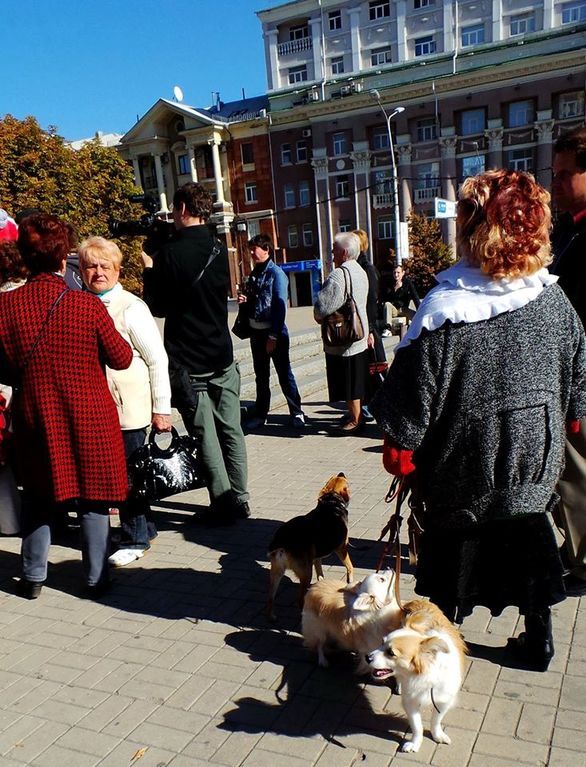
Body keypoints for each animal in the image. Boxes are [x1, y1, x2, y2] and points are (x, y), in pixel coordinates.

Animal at [266, 472, 352, 620]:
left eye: (332, 477)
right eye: (343, 480)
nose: (341, 472)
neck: (331, 502)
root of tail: (282, 541)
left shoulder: (316, 557)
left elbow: (320, 573)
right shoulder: (342, 548)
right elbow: (350, 567)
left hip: (276, 572)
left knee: (271, 597)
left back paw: (272, 616)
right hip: (306, 572)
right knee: (300, 599)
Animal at [364, 600, 466, 756]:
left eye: (391, 653)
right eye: (381, 643)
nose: (367, 657)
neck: (422, 676)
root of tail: (418, 601)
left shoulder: (444, 700)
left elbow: (436, 720)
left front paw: (437, 735)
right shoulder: (410, 702)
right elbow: (417, 726)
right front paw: (415, 743)